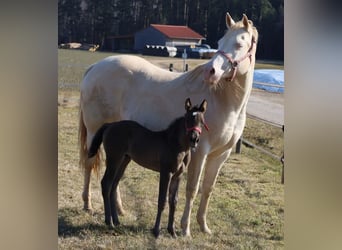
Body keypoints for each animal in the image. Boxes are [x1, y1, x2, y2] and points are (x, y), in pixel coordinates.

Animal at [79, 12, 258, 236]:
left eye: (239, 44)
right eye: (219, 42)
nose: (211, 71)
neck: (224, 101)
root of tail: (95, 67)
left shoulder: (220, 155)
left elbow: (208, 189)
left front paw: (204, 226)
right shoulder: (200, 152)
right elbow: (192, 189)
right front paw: (185, 229)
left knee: (113, 179)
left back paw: (119, 210)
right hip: (94, 131)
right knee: (90, 165)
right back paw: (88, 205)